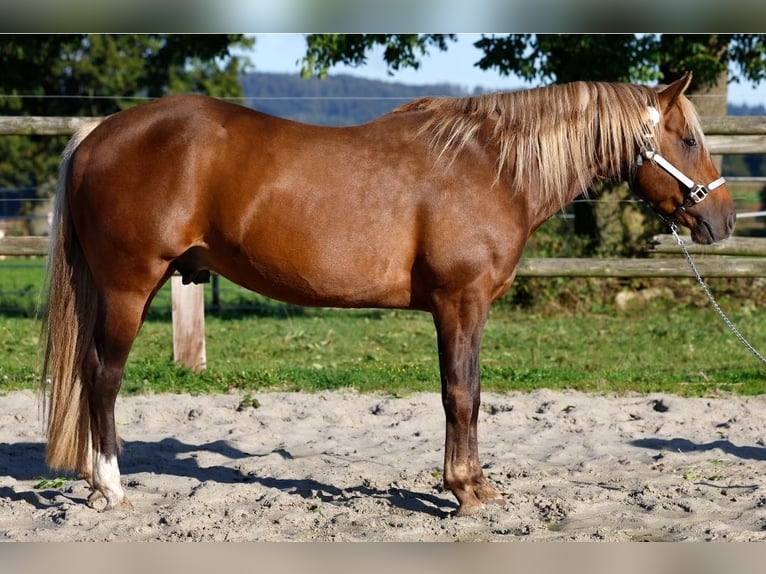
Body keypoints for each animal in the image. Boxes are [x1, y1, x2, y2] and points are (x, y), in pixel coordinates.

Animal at [41, 72, 735, 516]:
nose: (723, 221)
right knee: (102, 377)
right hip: (130, 286)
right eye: (689, 140)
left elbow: (464, 395)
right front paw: (468, 491)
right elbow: (463, 394)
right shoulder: (461, 302)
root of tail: (99, 131)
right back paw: (111, 487)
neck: (491, 167)